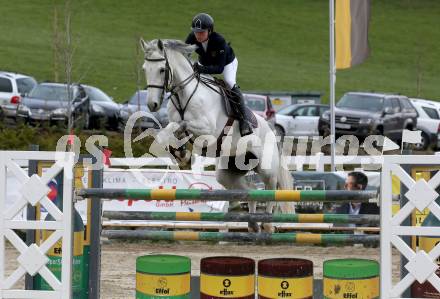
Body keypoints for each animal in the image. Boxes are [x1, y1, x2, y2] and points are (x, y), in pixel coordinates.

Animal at [139, 39, 294, 232]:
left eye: (162, 69)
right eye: (145, 69)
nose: (152, 105)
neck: (184, 95)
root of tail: (272, 130)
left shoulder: (207, 131)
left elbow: (180, 125)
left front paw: (182, 152)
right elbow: (169, 132)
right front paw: (181, 153)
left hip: (267, 168)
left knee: (271, 189)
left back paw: (267, 224)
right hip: (230, 170)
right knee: (249, 189)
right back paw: (253, 224)